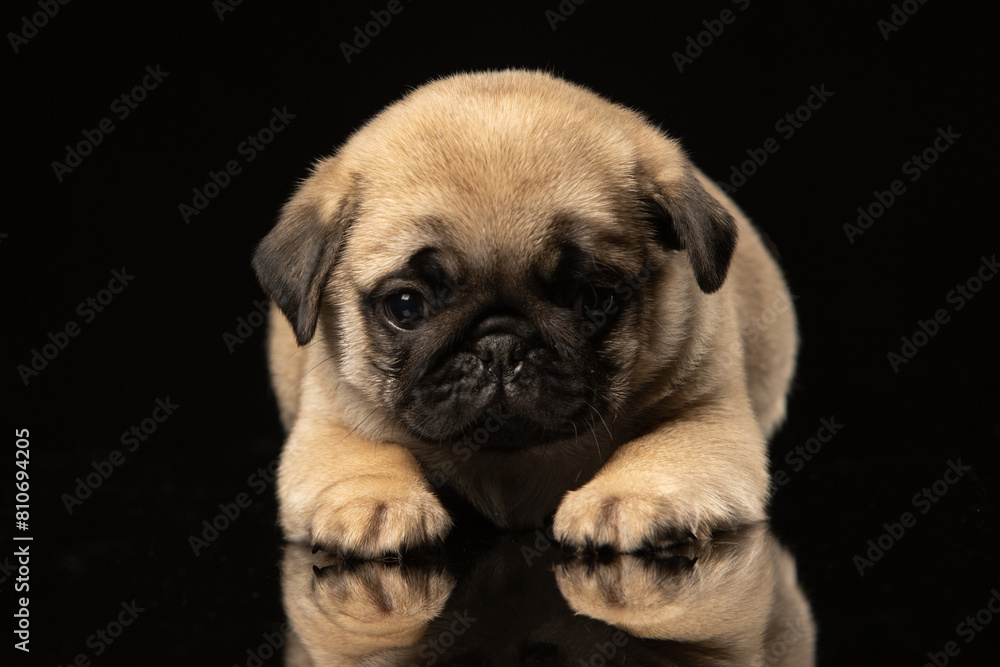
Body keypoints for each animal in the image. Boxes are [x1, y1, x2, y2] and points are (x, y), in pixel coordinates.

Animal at [256, 69, 796, 560]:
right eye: (406, 307)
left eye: (594, 300)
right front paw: (374, 501)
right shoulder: (329, 424)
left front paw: (628, 497)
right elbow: (367, 453)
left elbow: (662, 448)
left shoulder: (707, 414)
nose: (500, 344)